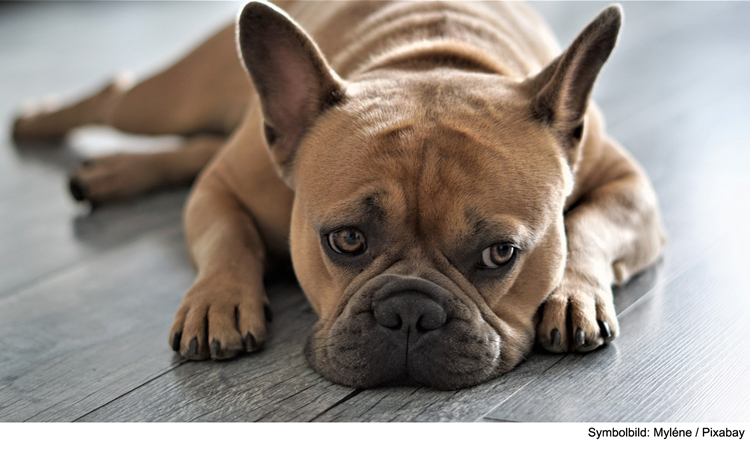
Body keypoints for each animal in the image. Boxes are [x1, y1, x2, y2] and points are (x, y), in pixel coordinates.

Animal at [11, 0, 668, 390]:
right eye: (346, 241)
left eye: (501, 254)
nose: (411, 312)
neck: (427, 62)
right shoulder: (223, 186)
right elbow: (229, 234)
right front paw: (218, 301)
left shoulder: (631, 189)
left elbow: (589, 226)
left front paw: (574, 294)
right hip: (170, 98)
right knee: (116, 96)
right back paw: (36, 121)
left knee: (192, 145)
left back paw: (108, 173)